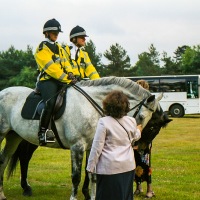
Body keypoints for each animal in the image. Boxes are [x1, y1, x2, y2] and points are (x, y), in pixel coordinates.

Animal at [0, 77, 162, 200]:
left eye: (153, 122)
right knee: (20, 158)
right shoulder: (77, 146)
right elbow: (76, 176)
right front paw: (74, 197)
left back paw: (4, 193)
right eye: (142, 117)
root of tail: (3, 91)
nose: (139, 145)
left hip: (14, 137)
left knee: (4, 160)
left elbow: (92, 174)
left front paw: (92, 196)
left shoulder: (92, 146)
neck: (90, 107)